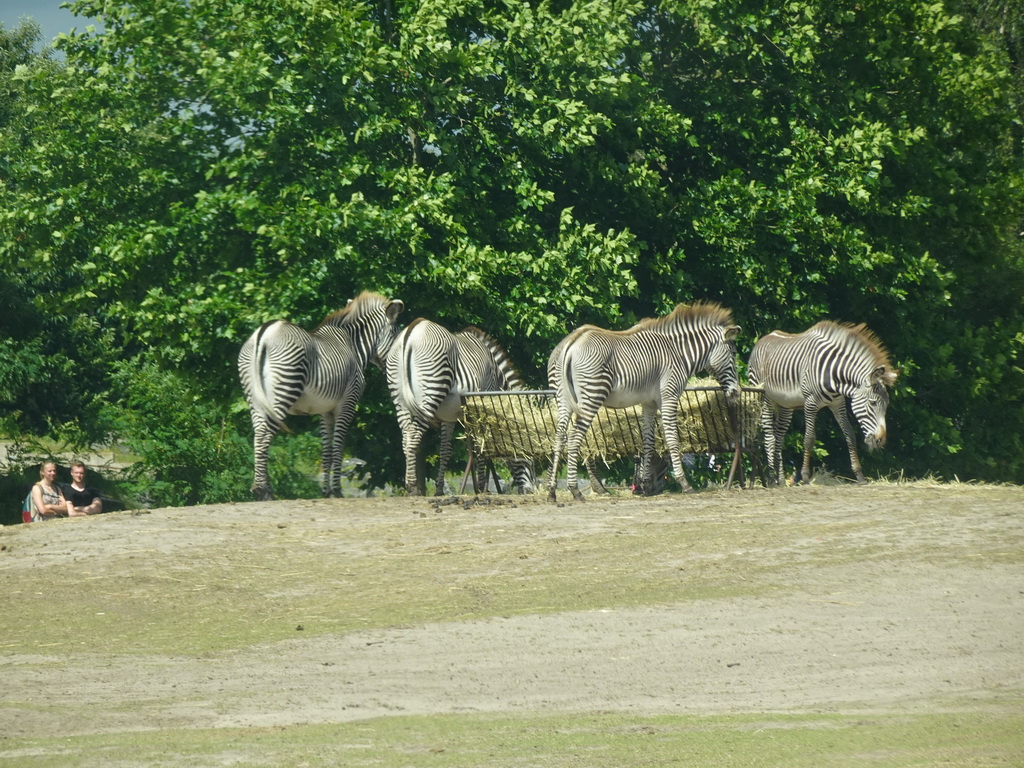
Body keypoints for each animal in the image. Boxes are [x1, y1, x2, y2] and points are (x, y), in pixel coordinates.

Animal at [238, 290, 403, 501]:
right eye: (396, 333)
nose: (392, 367)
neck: (353, 345)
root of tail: (264, 333)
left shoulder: (325, 410)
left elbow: (326, 453)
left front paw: (326, 492)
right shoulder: (346, 404)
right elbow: (338, 448)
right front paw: (337, 491)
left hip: (254, 397)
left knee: (258, 434)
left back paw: (261, 488)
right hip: (283, 390)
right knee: (265, 435)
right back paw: (263, 490)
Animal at [385, 319, 536, 495]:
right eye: (527, 452)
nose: (531, 491)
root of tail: (412, 330)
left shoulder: (448, 417)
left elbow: (445, 450)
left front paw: (440, 490)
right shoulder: (482, 407)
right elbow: (480, 447)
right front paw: (482, 488)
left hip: (400, 399)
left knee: (406, 437)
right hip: (430, 391)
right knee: (413, 435)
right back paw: (412, 487)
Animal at [548, 303, 741, 501]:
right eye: (733, 354)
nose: (737, 392)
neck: (678, 352)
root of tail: (572, 342)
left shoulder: (649, 403)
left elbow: (648, 441)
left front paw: (644, 485)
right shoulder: (669, 397)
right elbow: (672, 439)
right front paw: (684, 484)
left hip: (563, 399)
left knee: (559, 436)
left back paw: (552, 492)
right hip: (592, 395)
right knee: (574, 437)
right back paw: (575, 490)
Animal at [745, 321, 897, 483]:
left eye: (886, 405)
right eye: (873, 403)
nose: (880, 440)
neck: (835, 376)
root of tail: (763, 338)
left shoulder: (838, 403)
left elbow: (850, 434)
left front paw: (859, 475)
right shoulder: (810, 403)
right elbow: (809, 439)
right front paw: (805, 476)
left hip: (785, 404)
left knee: (779, 437)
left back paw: (780, 480)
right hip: (764, 397)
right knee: (769, 437)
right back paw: (772, 479)